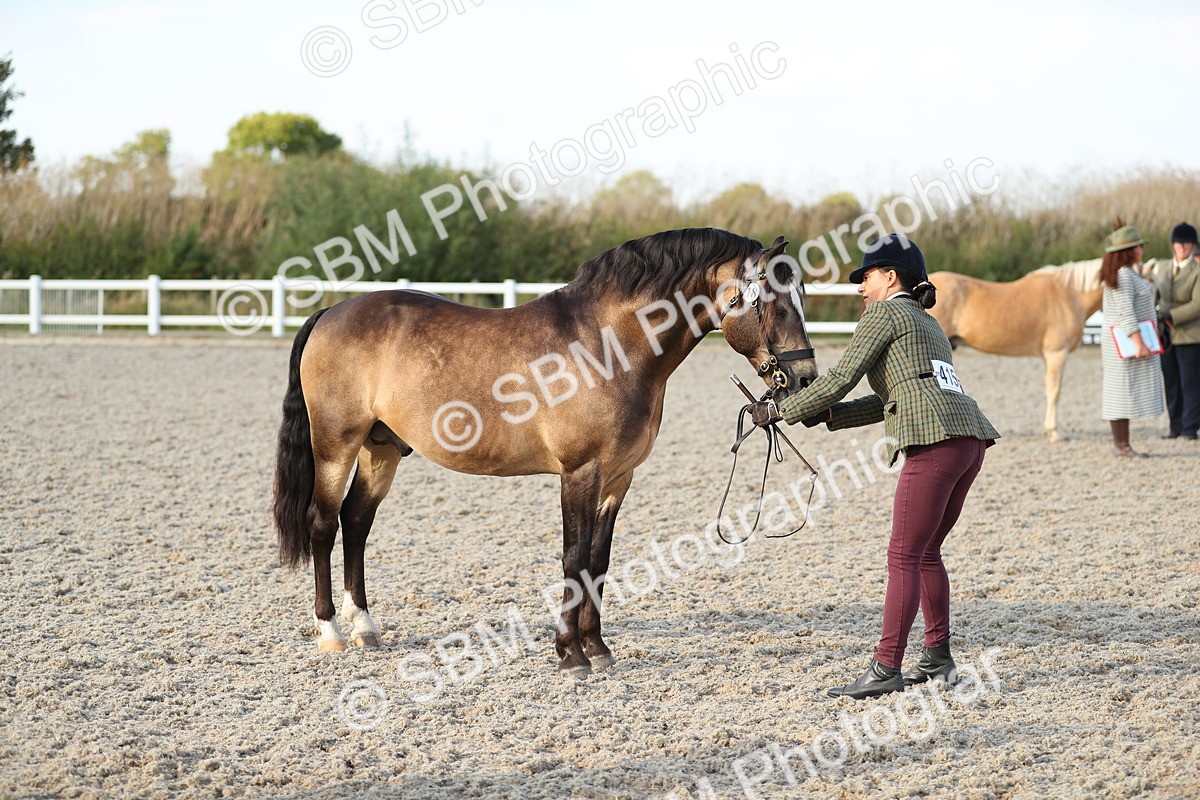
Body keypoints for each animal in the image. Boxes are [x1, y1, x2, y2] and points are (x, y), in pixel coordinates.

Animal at [272, 228, 819, 675]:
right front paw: (570, 655)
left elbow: (598, 560)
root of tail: (330, 313)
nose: (805, 379)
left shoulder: (618, 478)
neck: (607, 346)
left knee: (356, 521)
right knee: (323, 523)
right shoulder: (580, 472)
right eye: (775, 303)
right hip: (336, 445)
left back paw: (364, 626)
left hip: (380, 447)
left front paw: (597, 648)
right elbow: (573, 558)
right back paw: (331, 632)